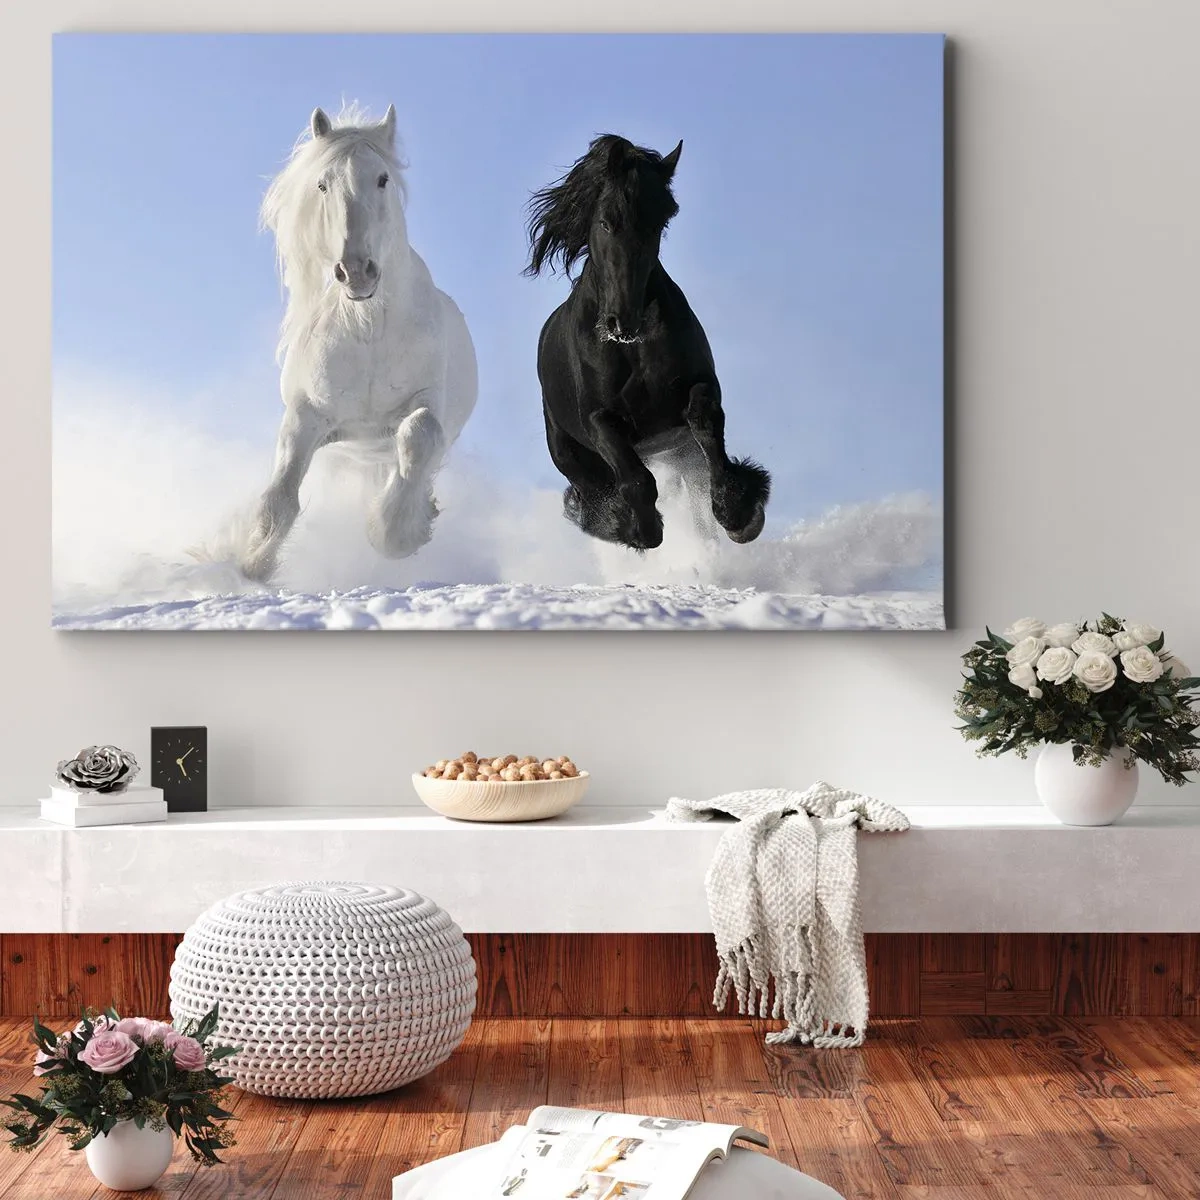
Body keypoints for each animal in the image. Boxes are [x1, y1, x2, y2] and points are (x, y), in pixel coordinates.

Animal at [240, 104, 477, 582]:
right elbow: (279, 498)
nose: (356, 271)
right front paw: (251, 564)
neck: (367, 330)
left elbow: (420, 435)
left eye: (383, 178)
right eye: (322, 184)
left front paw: (396, 534)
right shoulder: (306, 416)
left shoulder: (428, 402)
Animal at [525, 134, 770, 552]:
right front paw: (639, 528)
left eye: (660, 222)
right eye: (606, 221)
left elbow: (706, 424)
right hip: (572, 455)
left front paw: (739, 513)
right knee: (593, 493)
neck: (631, 348)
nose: (623, 322)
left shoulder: (698, 387)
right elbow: (635, 479)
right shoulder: (599, 420)